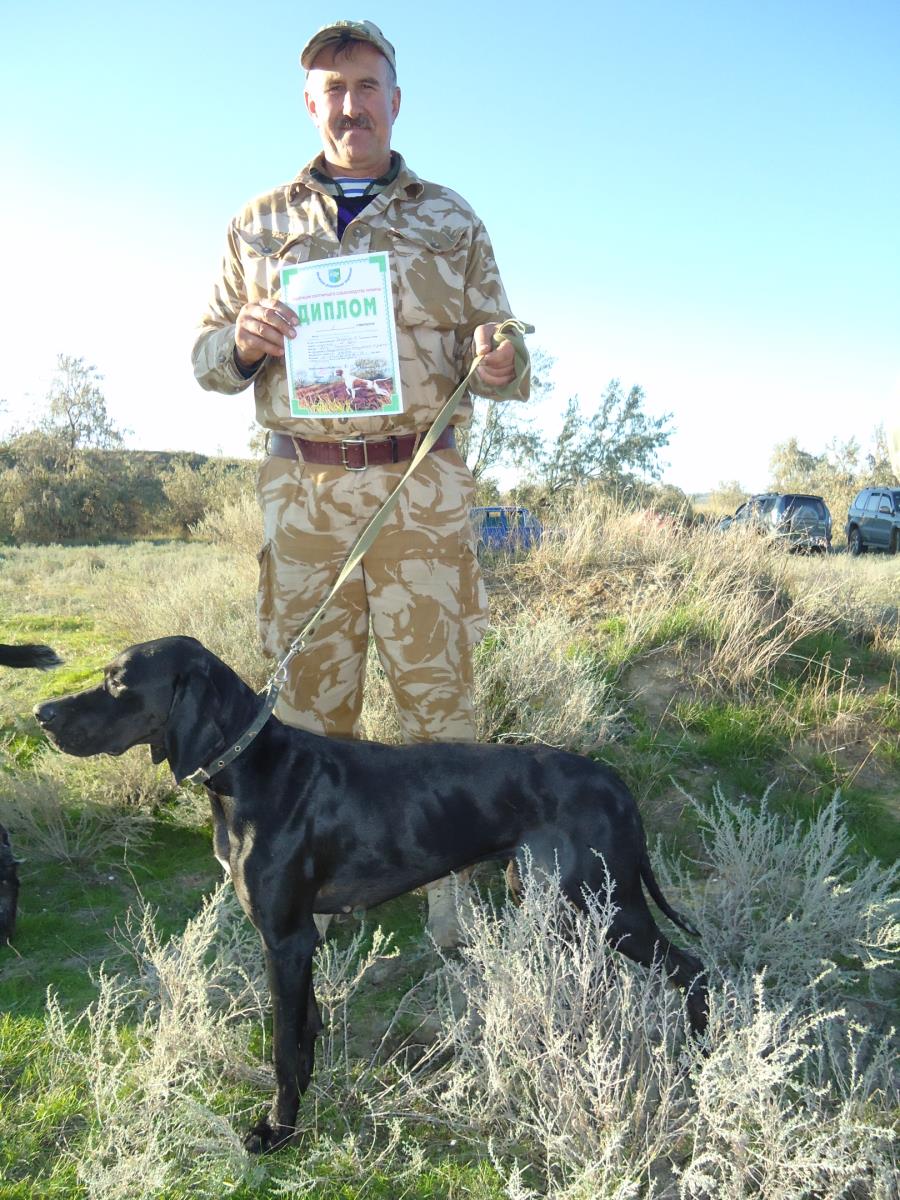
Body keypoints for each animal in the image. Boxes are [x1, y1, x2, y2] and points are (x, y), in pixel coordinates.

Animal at [34, 636, 708, 1154]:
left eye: (118, 683)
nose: (42, 712)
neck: (249, 769)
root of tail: (615, 782)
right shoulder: (301, 938)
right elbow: (304, 1026)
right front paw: (302, 1098)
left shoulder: (284, 938)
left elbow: (281, 1046)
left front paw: (276, 1131)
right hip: (558, 903)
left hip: (608, 904)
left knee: (693, 968)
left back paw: (699, 1062)